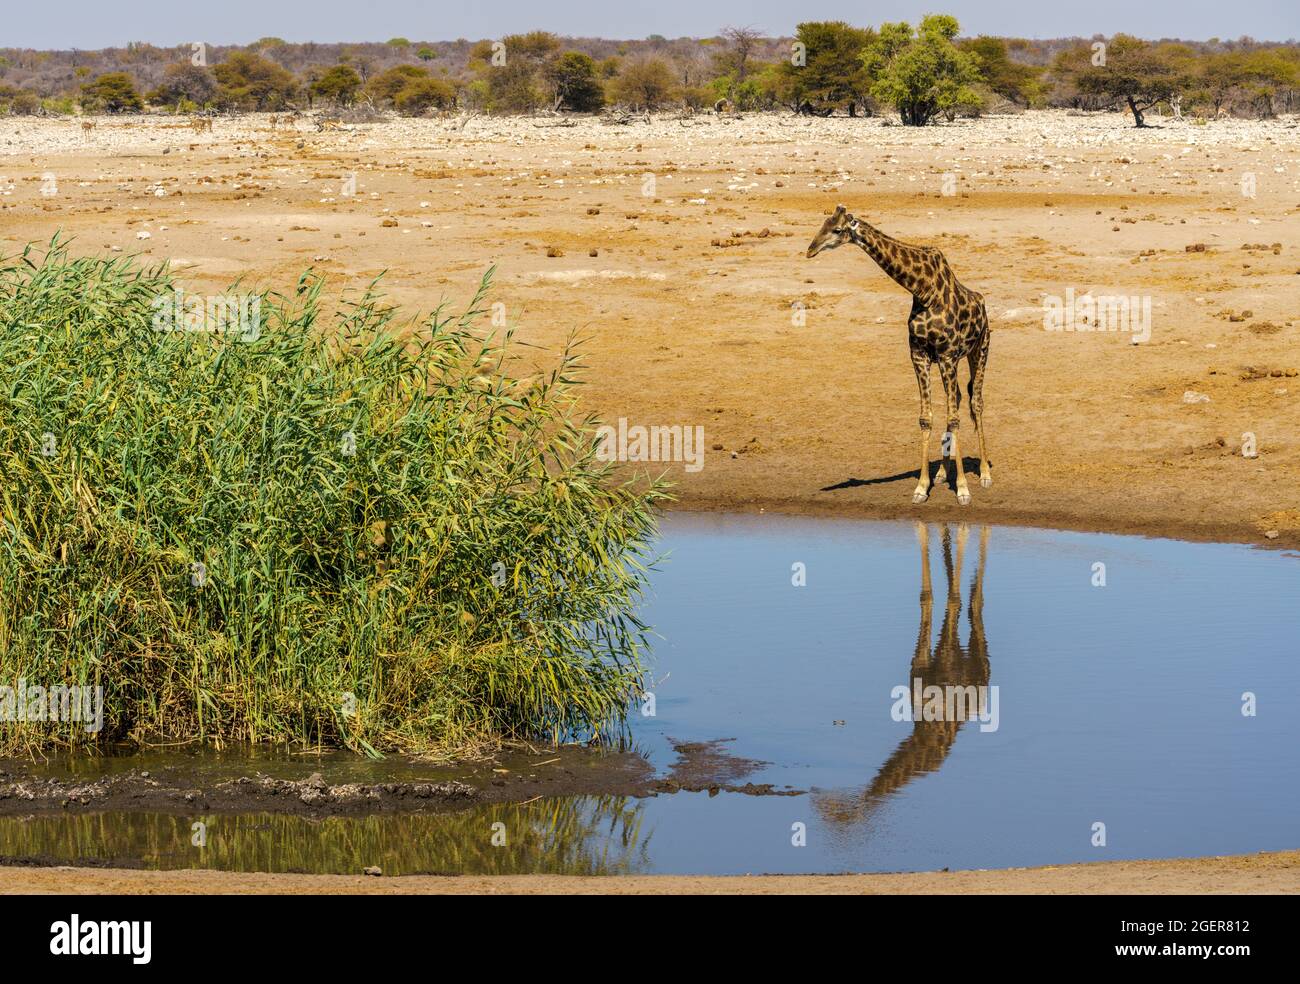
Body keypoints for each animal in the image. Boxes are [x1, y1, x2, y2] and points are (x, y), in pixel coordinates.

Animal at [800, 204, 993, 501]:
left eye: (837, 229)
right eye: (823, 224)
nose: (810, 250)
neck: (923, 289)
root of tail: (982, 303)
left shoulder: (947, 354)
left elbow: (953, 417)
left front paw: (962, 488)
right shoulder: (919, 354)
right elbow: (926, 418)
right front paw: (922, 486)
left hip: (979, 350)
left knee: (975, 403)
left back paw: (984, 473)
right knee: (960, 397)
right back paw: (941, 473)